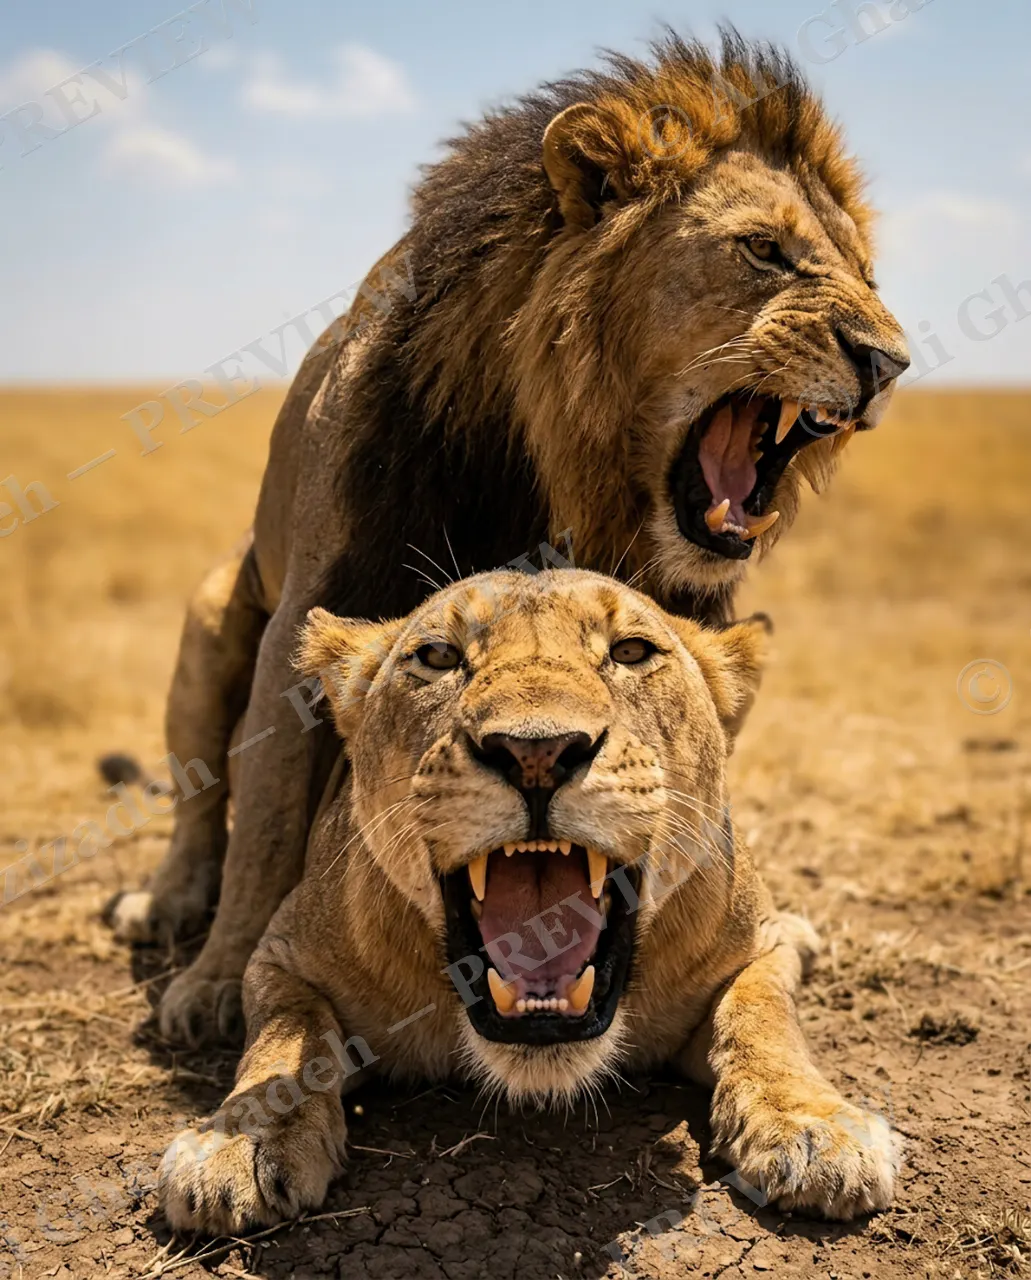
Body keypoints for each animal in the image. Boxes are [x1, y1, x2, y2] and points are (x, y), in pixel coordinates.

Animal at [108, 30, 910, 1047]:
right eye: (764, 251)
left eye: (869, 278)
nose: (890, 363)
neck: (556, 463)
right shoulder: (307, 620)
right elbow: (267, 818)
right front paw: (218, 980)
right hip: (214, 615)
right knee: (202, 801)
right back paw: (167, 902)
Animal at [157, 569, 899, 1233]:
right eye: (438, 656)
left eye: (631, 651)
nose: (536, 751)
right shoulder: (282, 954)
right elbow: (288, 1035)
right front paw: (242, 1141)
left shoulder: (757, 950)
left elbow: (763, 1021)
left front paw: (812, 1129)